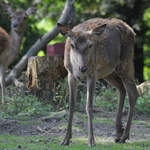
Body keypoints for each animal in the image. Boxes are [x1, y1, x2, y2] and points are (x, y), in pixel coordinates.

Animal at [56, 17, 139, 146]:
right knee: (122, 89)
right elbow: (71, 105)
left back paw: (124, 136)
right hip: (109, 72)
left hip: (126, 62)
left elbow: (89, 106)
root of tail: (132, 31)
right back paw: (118, 133)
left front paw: (91, 141)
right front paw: (65, 139)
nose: (83, 68)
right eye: (72, 45)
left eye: (90, 45)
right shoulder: (70, 75)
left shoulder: (92, 74)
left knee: (133, 93)